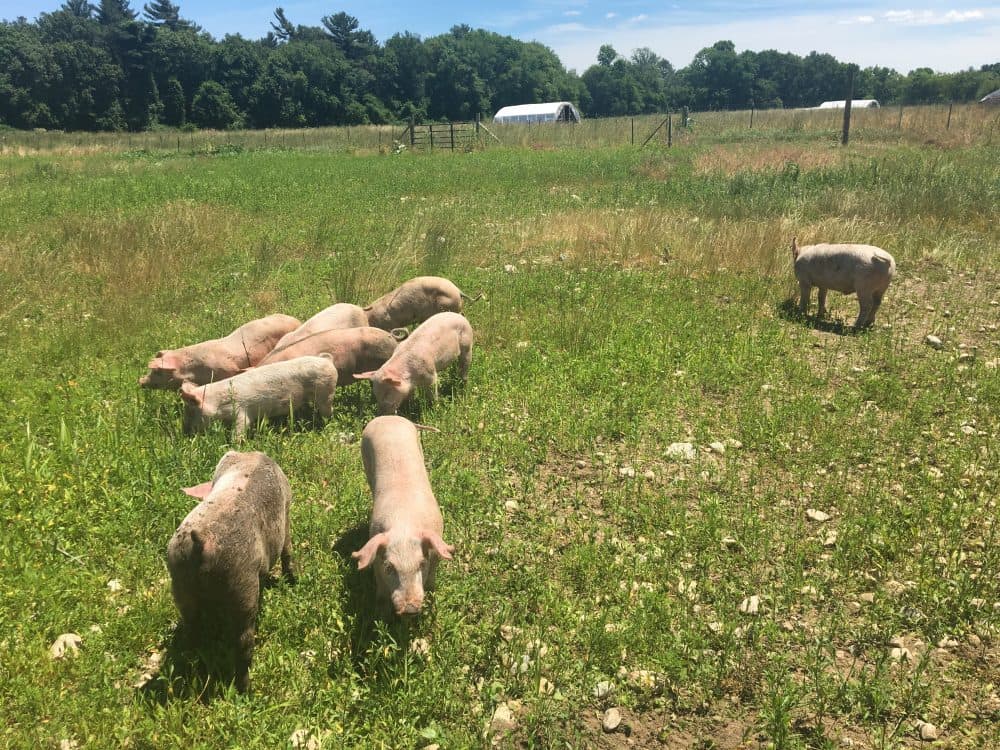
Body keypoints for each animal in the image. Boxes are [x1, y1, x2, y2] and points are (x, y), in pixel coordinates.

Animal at [166, 450, 292, 696]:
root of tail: (201, 544)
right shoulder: (287, 509)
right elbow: (288, 548)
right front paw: (294, 581)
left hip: (180, 581)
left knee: (191, 627)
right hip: (241, 583)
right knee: (243, 641)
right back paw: (246, 690)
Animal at [178, 356, 338, 440]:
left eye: (190, 412)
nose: (186, 433)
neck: (218, 402)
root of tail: (328, 360)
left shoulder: (241, 410)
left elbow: (241, 426)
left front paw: (235, 443)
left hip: (326, 392)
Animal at [352, 414, 454, 620]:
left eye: (421, 564)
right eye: (389, 567)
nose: (410, 609)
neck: (404, 525)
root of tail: (389, 417)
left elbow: (432, 579)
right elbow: (381, 589)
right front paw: (381, 613)